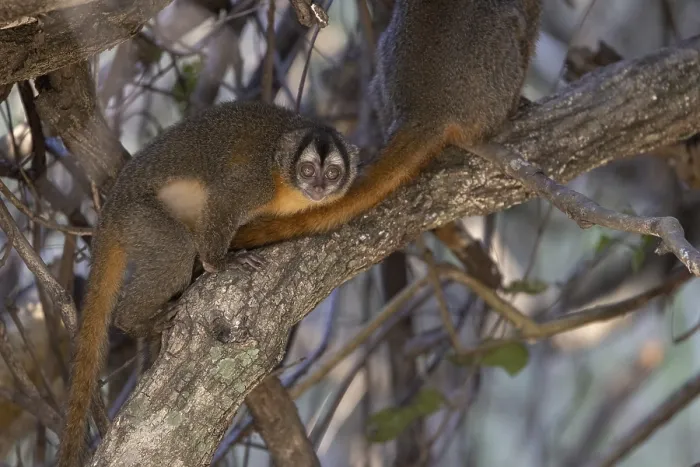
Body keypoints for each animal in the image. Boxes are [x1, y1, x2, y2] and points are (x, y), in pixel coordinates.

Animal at [57, 101, 359, 467]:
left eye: (332, 174)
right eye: (307, 170)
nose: (318, 188)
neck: (284, 179)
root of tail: (109, 213)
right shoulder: (256, 180)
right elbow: (223, 200)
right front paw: (221, 262)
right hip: (138, 218)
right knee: (176, 250)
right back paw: (134, 320)